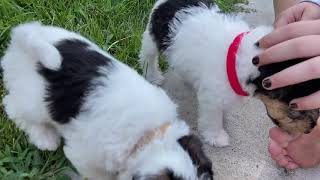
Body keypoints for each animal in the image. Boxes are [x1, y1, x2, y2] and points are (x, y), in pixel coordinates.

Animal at [2, 22, 214, 180]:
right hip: (32, 100)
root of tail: (22, 33)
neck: (150, 133)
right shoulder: (85, 157)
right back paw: (45, 138)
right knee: (12, 106)